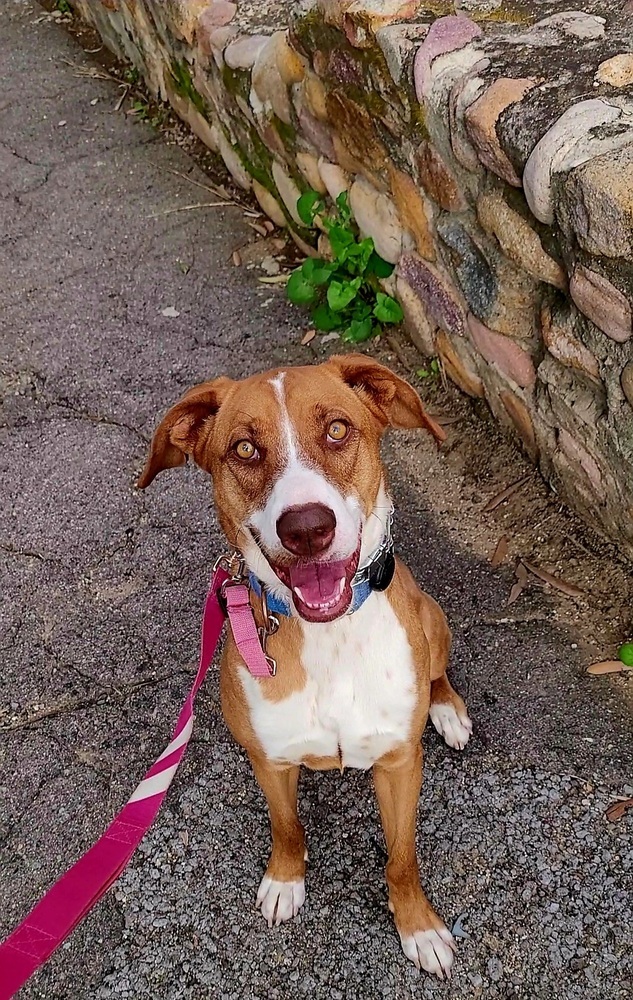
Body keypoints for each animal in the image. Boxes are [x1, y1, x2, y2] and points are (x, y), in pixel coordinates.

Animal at [139, 354, 474, 976]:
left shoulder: (399, 764)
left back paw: (447, 711)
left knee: (440, 672)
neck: (328, 638)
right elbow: (287, 825)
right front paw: (285, 880)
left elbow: (402, 858)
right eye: (245, 449)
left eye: (338, 429)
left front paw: (419, 927)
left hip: (433, 619)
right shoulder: (269, 759)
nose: (307, 528)